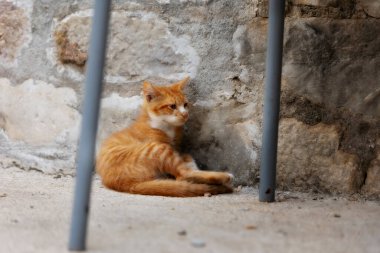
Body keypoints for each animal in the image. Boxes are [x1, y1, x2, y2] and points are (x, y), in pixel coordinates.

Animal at [95, 77, 232, 198]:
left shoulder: (178, 149)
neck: (166, 126)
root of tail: (122, 184)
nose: (185, 114)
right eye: (172, 106)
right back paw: (225, 177)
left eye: (185, 104)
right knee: (182, 175)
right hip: (159, 149)